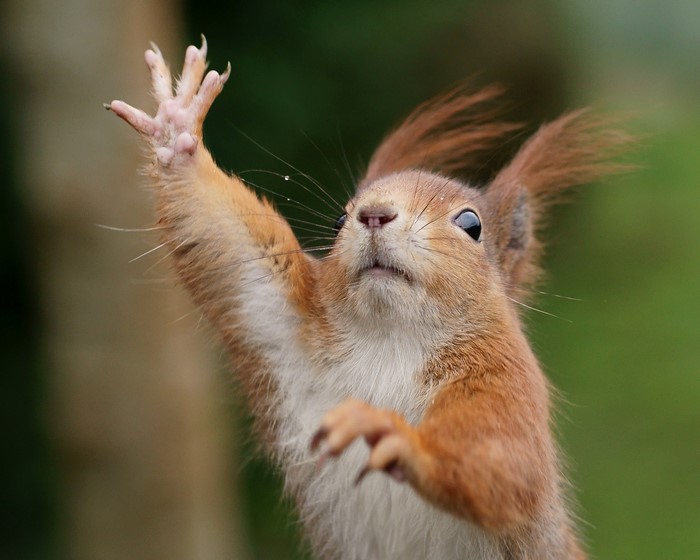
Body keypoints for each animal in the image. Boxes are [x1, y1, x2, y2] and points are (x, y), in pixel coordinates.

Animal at [108, 37, 626, 560]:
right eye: (340, 218)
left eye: (471, 224)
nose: (374, 214)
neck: (389, 336)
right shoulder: (278, 313)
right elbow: (225, 242)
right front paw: (176, 129)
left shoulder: (506, 379)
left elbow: (503, 460)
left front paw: (398, 438)